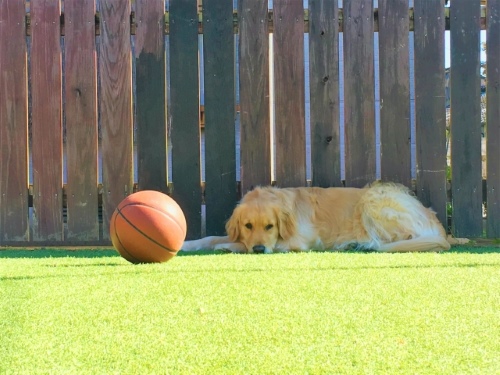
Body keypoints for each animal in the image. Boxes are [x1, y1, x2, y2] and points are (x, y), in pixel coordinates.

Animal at [182, 183, 456, 254]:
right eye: (248, 225)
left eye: (270, 226)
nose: (259, 250)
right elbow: (210, 237)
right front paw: (188, 244)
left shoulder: (298, 241)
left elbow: (235, 243)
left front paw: (227, 246)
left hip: (374, 199)